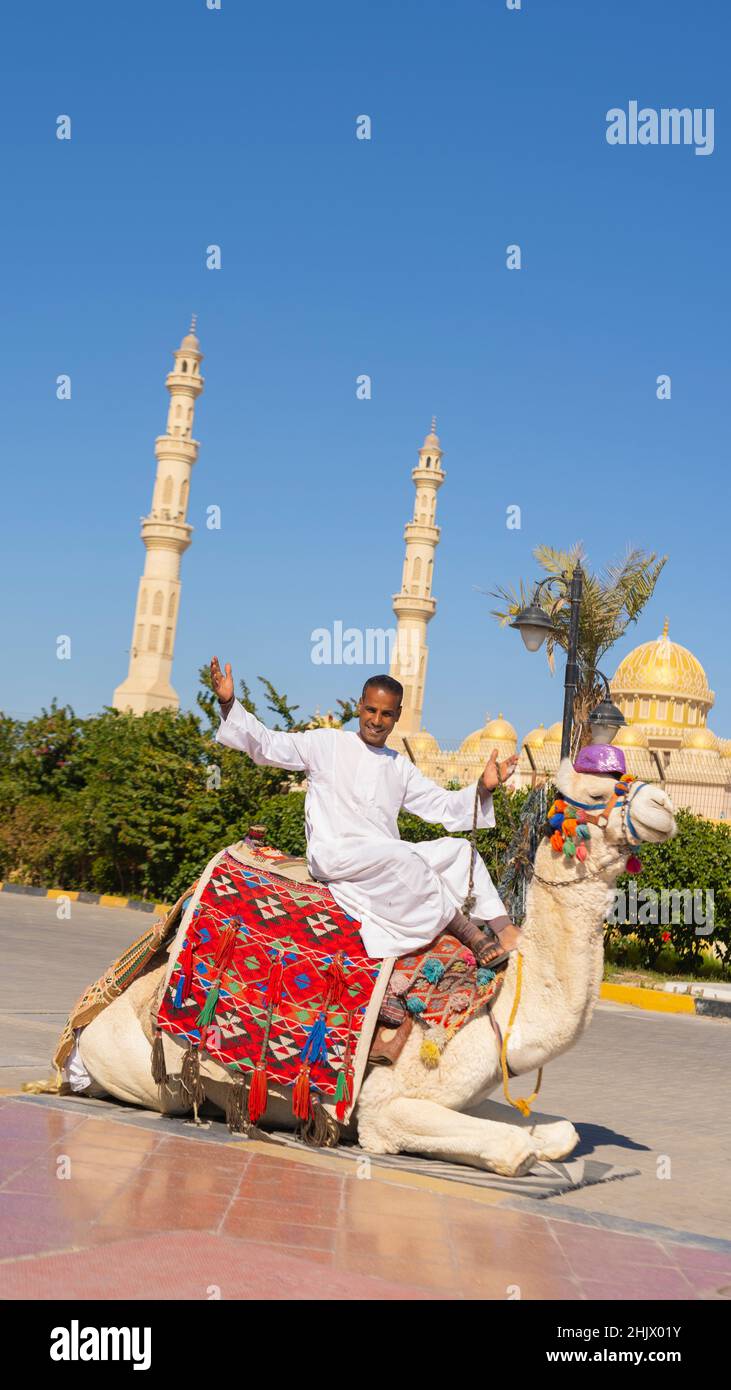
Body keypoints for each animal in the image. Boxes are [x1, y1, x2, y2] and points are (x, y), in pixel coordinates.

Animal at [72, 761, 675, 1173]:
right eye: (597, 792)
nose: (664, 806)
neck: (496, 1006)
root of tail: (83, 1028)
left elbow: (559, 1133)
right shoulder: (384, 1107)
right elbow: (514, 1148)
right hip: (145, 1074)